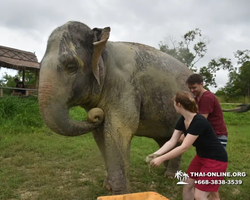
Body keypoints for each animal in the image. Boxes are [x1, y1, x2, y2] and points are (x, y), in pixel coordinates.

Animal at [38, 21, 191, 195]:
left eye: (71, 66)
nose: (96, 115)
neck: (104, 49)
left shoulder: (125, 85)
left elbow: (118, 131)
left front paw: (122, 193)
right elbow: (100, 134)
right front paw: (107, 186)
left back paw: (169, 176)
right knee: (165, 138)